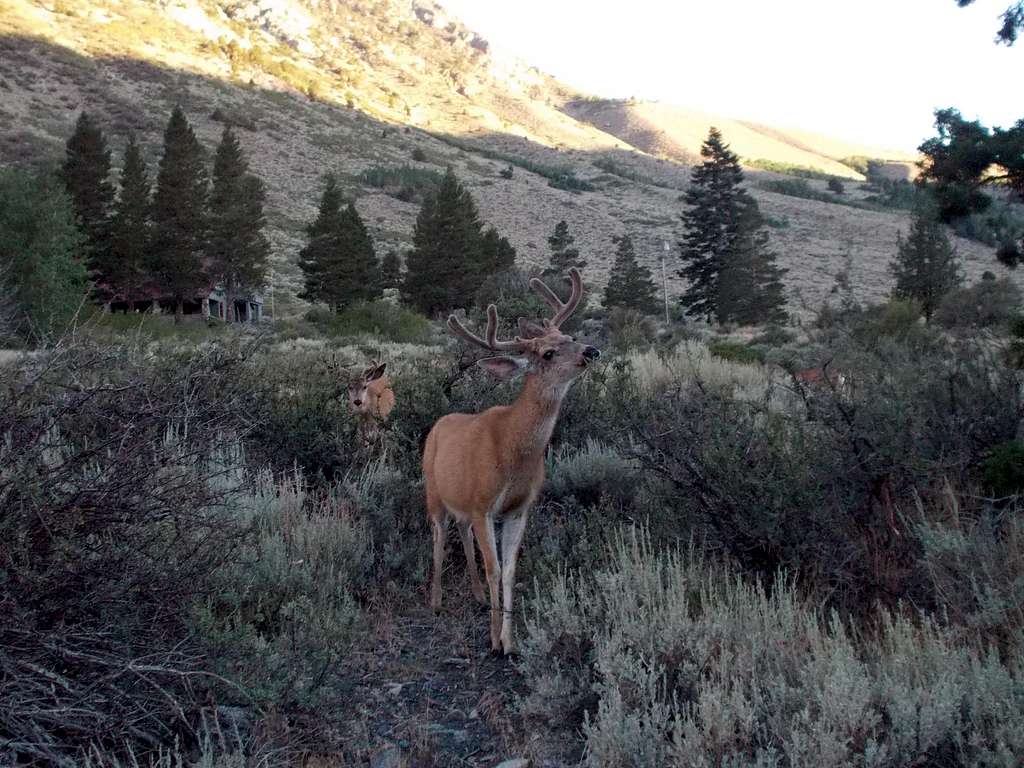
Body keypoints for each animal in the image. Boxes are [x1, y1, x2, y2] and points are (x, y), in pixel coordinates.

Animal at [423, 268, 598, 655]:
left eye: (570, 335)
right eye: (548, 353)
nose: (591, 350)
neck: (512, 454)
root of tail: (439, 423)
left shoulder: (519, 508)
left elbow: (508, 570)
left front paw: (510, 640)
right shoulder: (483, 503)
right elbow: (493, 567)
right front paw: (492, 640)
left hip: (461, 503)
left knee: (461, 532)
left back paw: (475, 595)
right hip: (433, 493)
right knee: (439, 538)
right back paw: (436, 601)